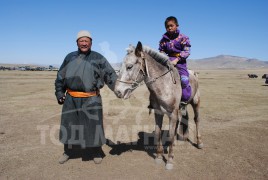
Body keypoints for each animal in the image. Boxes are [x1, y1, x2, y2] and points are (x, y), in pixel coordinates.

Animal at [113, 41, 203, 169]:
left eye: (129, 66)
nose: (118, 91)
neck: (164, 84)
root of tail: (193, 73)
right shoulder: (158, 112)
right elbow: (158, 133)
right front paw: (159, 157)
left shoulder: (172, 113)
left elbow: (170, 134)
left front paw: (169, 160)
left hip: (196, 102)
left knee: (197, 119)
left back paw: (199, 142)